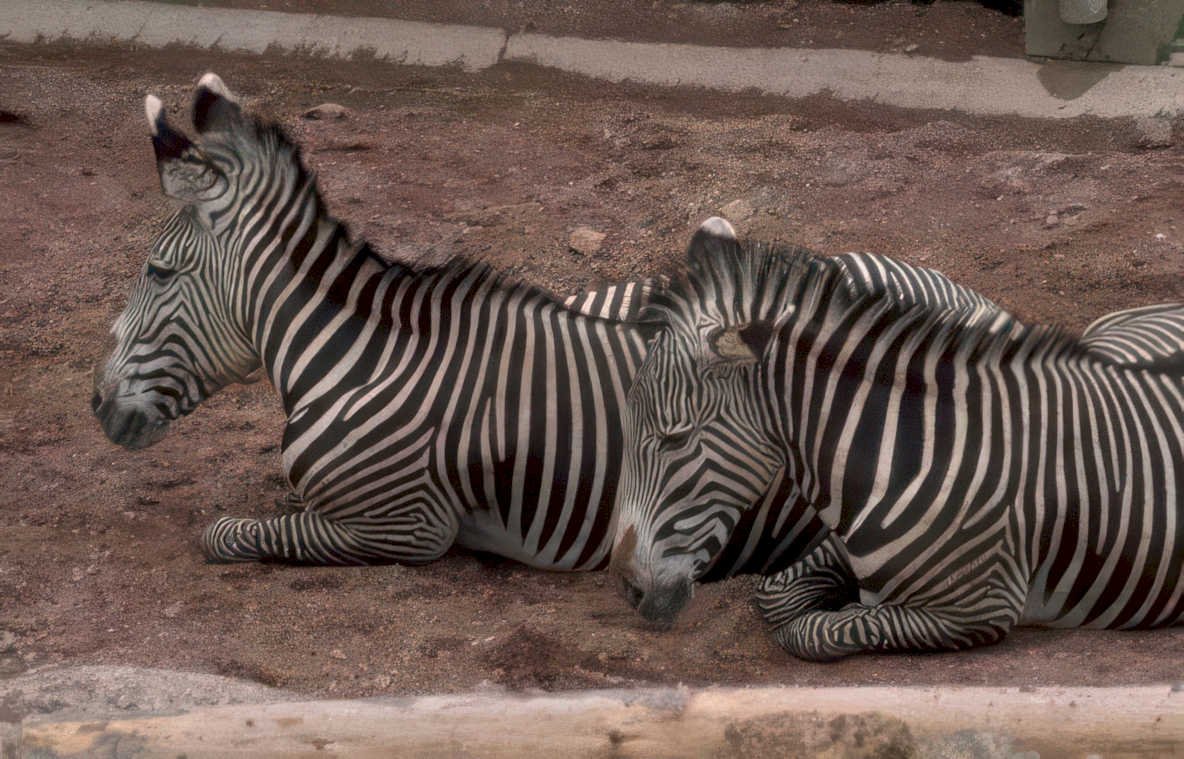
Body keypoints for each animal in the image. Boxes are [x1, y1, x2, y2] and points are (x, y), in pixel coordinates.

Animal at [610, 230, 1184, 660]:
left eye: (675, 438)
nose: (628, 590)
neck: (908, 450)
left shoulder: (976, 608)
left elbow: (820, 629)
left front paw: (842, 611)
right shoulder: (841, 547)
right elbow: (774, 598)